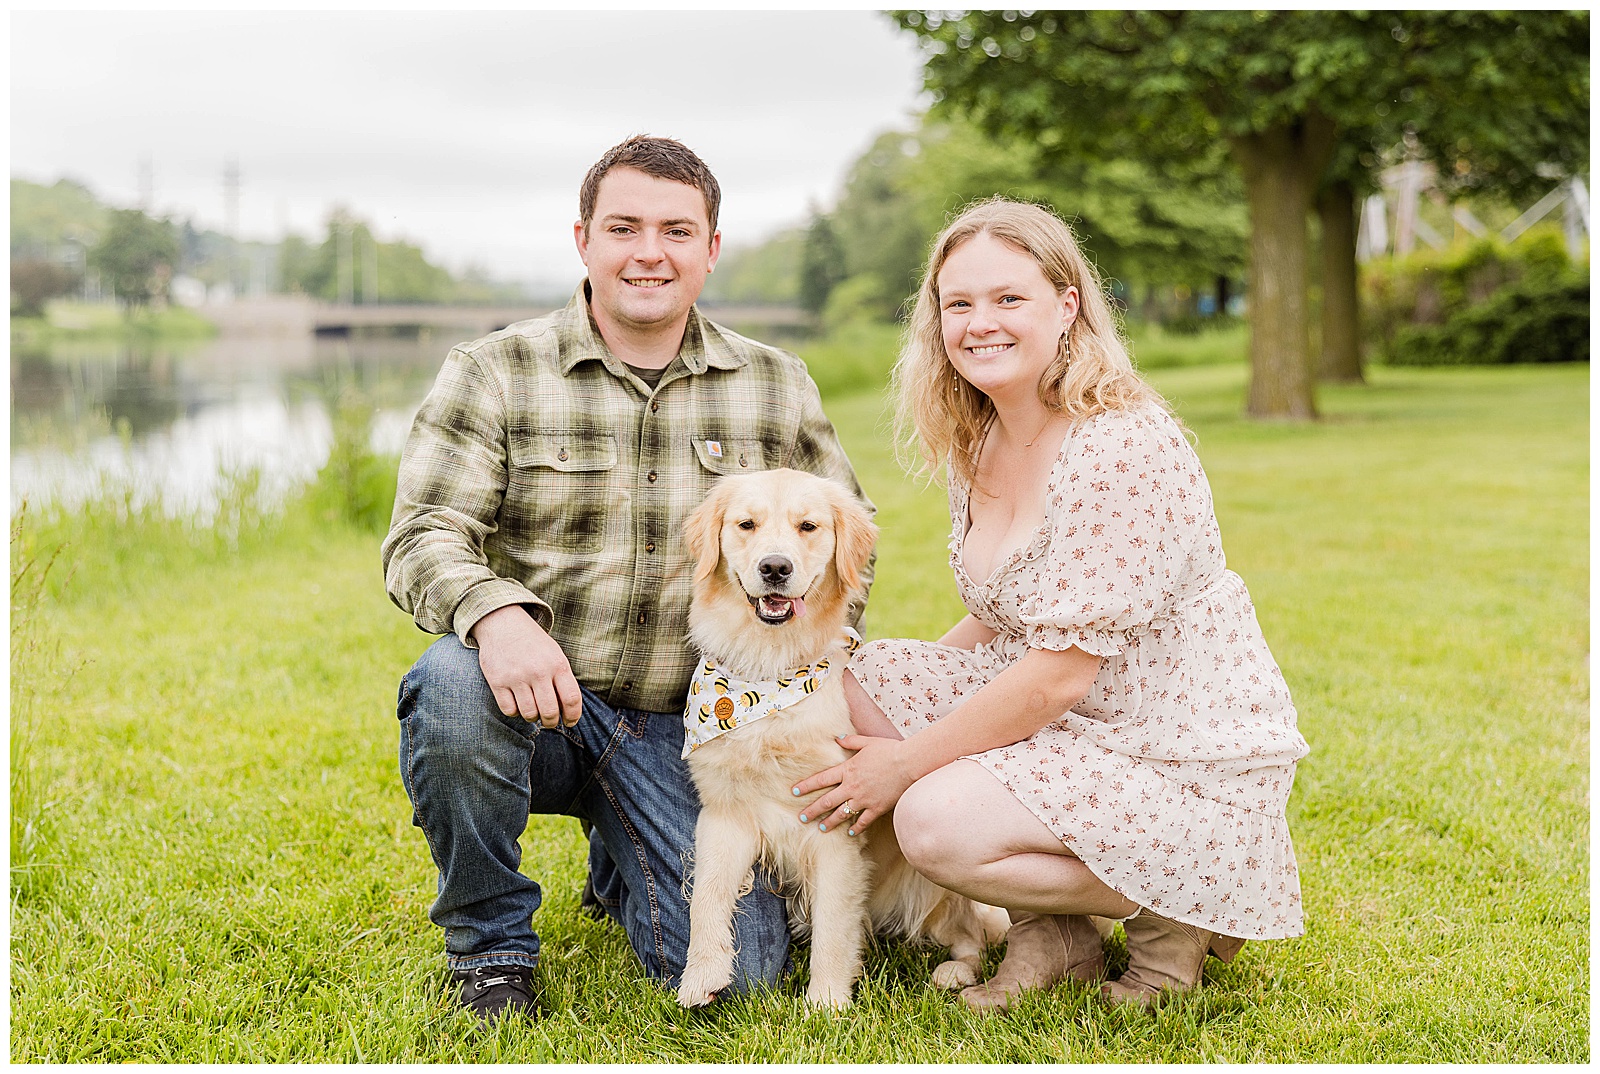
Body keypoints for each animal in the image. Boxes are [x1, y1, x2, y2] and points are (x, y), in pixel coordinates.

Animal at [678, 467, 1011, 1011]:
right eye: (746, 525)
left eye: (808, 526)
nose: (775, 567)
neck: (772, 672)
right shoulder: (725, 814)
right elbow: (705, 897)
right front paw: (700, 976)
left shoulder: (834, 828)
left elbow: (834, 928)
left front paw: (826, 1004)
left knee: (973, 934)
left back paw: (956, 974)